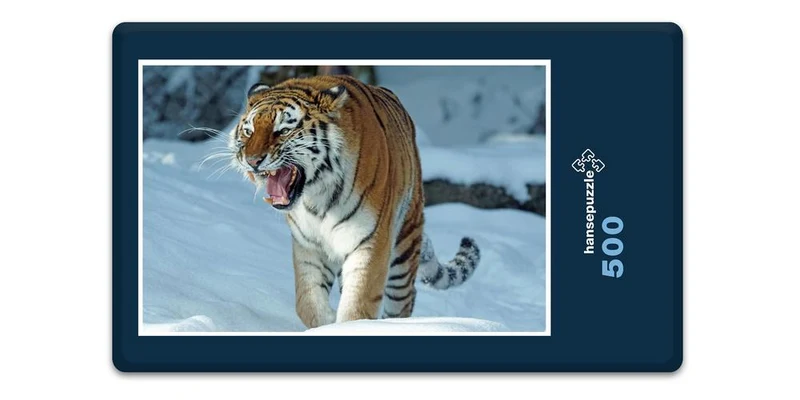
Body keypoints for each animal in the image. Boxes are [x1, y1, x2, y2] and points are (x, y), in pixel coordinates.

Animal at [227, 74, 481, 328]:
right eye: (249, 131)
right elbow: (307, 302)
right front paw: (327, 322)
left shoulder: (370, 241)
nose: (252, 161)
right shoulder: (308, 246)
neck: (316, 196)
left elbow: (358, 304)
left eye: (283, 130)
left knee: (404, 300)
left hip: (405, 246)